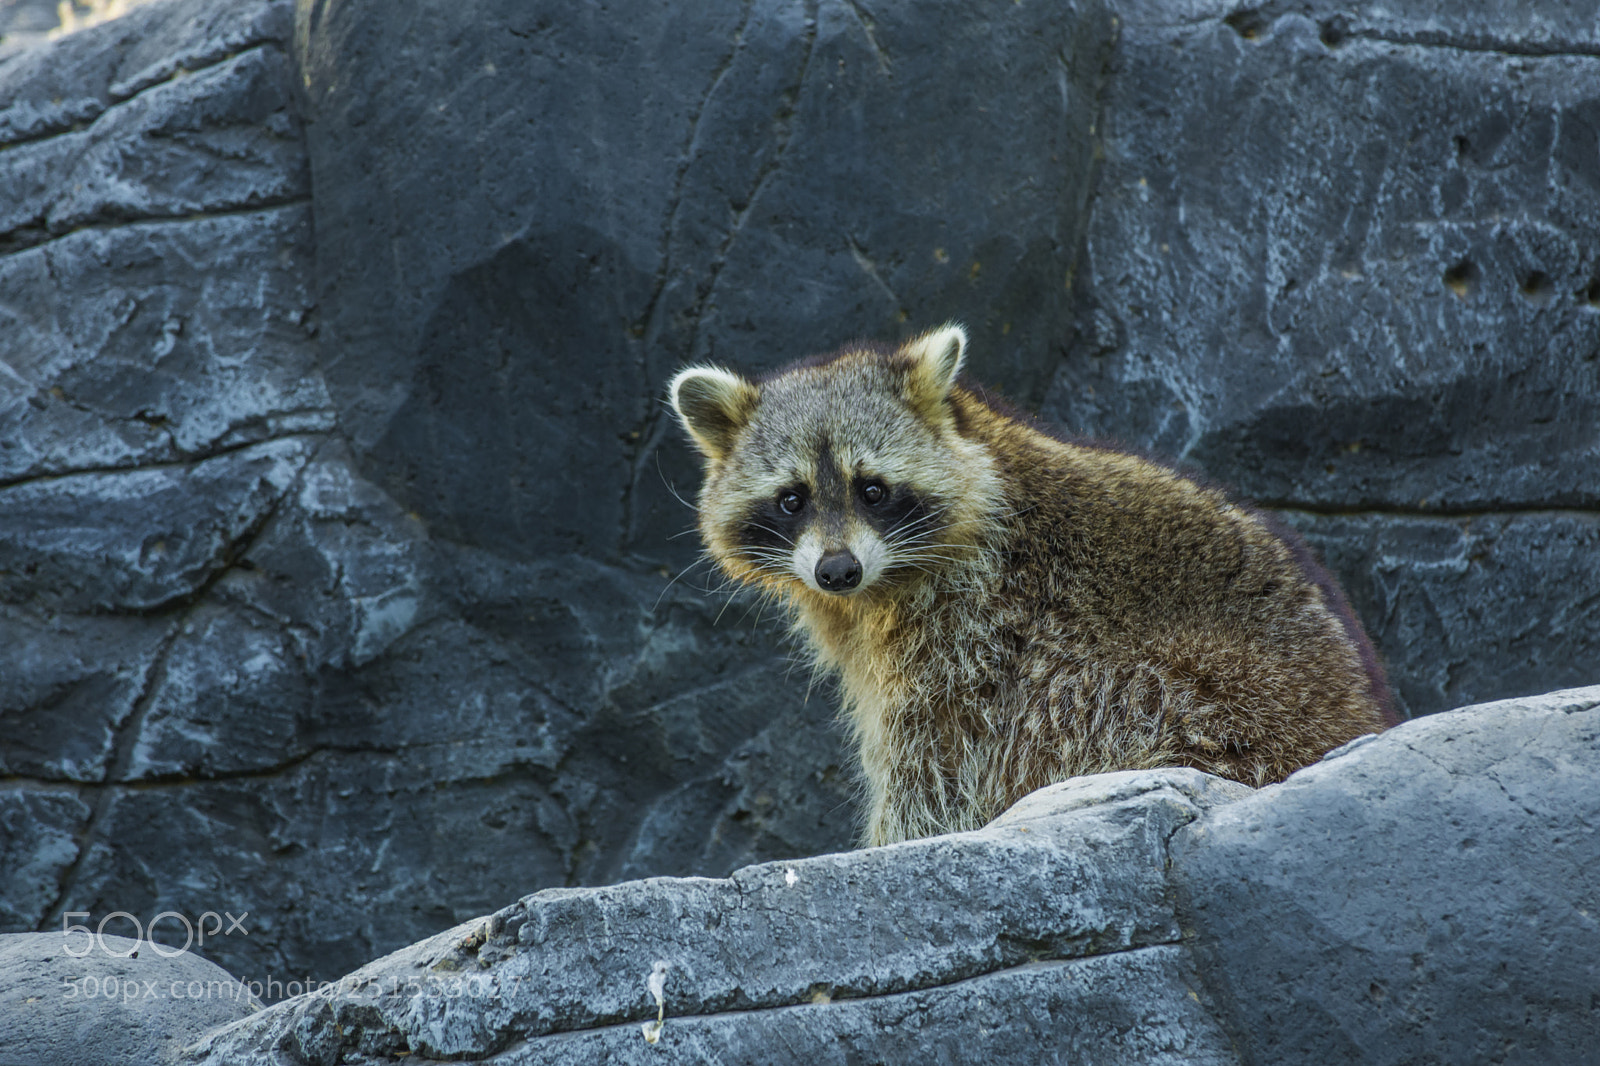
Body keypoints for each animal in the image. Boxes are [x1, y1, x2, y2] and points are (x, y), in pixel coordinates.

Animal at [669, 324, 1394, 846]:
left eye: (872, 490)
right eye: (791, 500)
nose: (837, 570)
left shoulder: (966, 632)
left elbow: (933, 769)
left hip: (1202, 694)